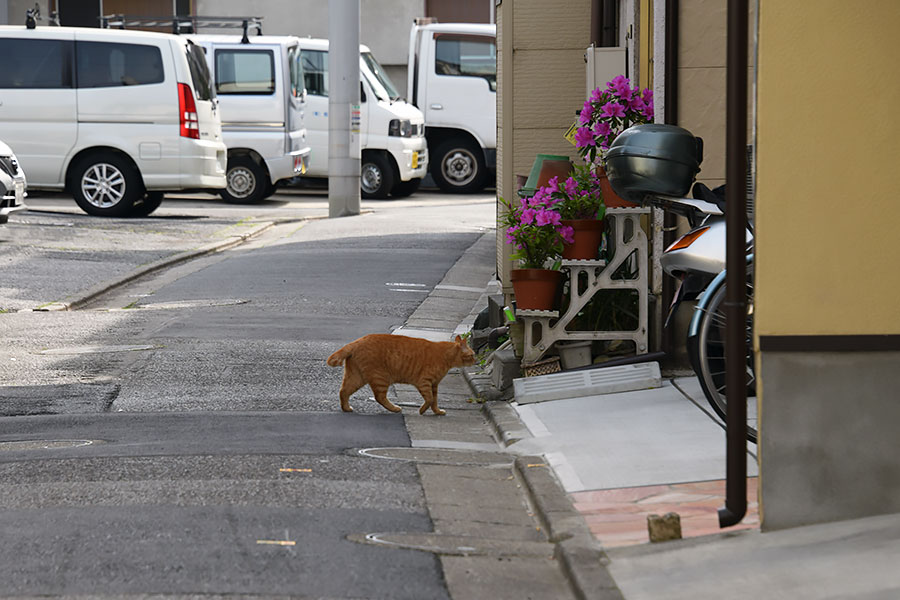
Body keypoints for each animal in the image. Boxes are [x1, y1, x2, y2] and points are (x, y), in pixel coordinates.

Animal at [326, 332, 478, 418]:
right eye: (472, 355)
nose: (476, 361)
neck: (445, 355)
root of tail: (357, 341)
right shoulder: (424, 382)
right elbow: (429, 399)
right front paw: (422, 410)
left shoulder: (434, 385)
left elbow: (434, 400)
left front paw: (437, 411)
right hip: (381, 378)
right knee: (379, 397)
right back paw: (395, 408)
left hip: (356, 377)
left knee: (343, 391)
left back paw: (346, 408)